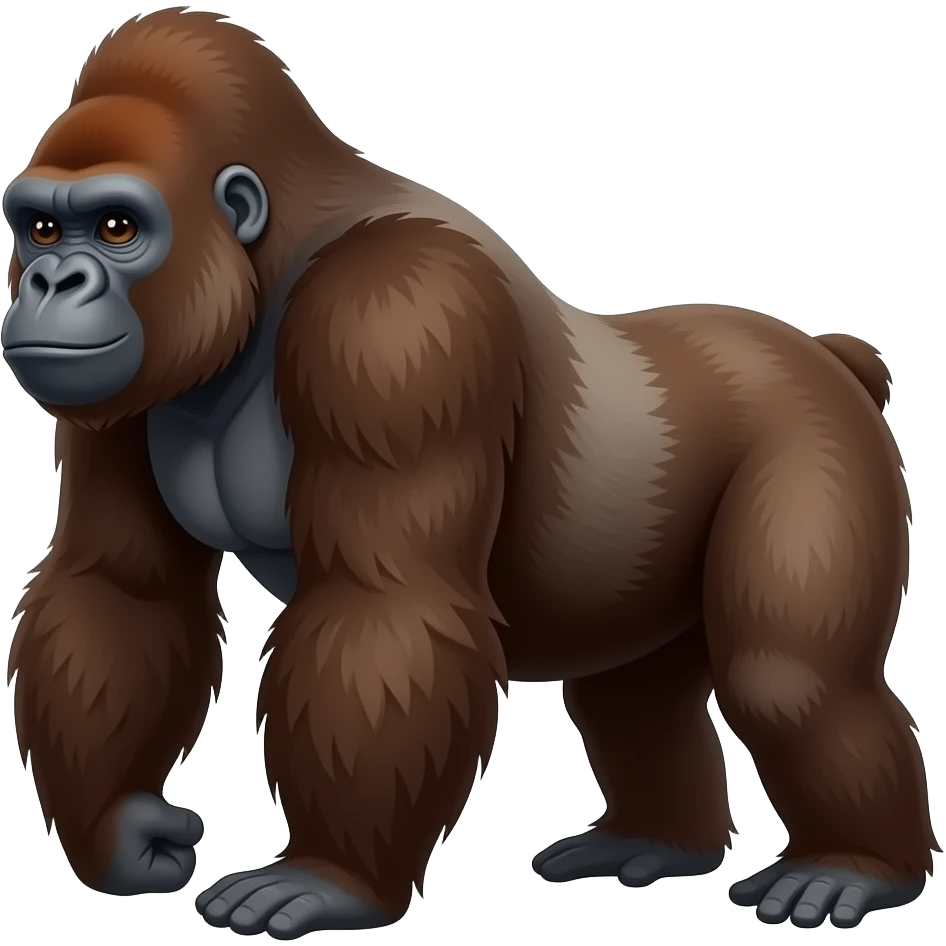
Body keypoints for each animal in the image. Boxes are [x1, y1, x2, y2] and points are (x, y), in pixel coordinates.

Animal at [1, 7, 937, 938]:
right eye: (39, 228)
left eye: (118, 228)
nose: (50, 280)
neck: (271, 259)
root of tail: (827, 354)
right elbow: (121, 585)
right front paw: (118, 830)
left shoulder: (395, 317)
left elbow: (385, 604)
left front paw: (334, 877)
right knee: (636, 700)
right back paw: (658, 841)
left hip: (816, 435)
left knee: (791, 682)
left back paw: (856, 865)